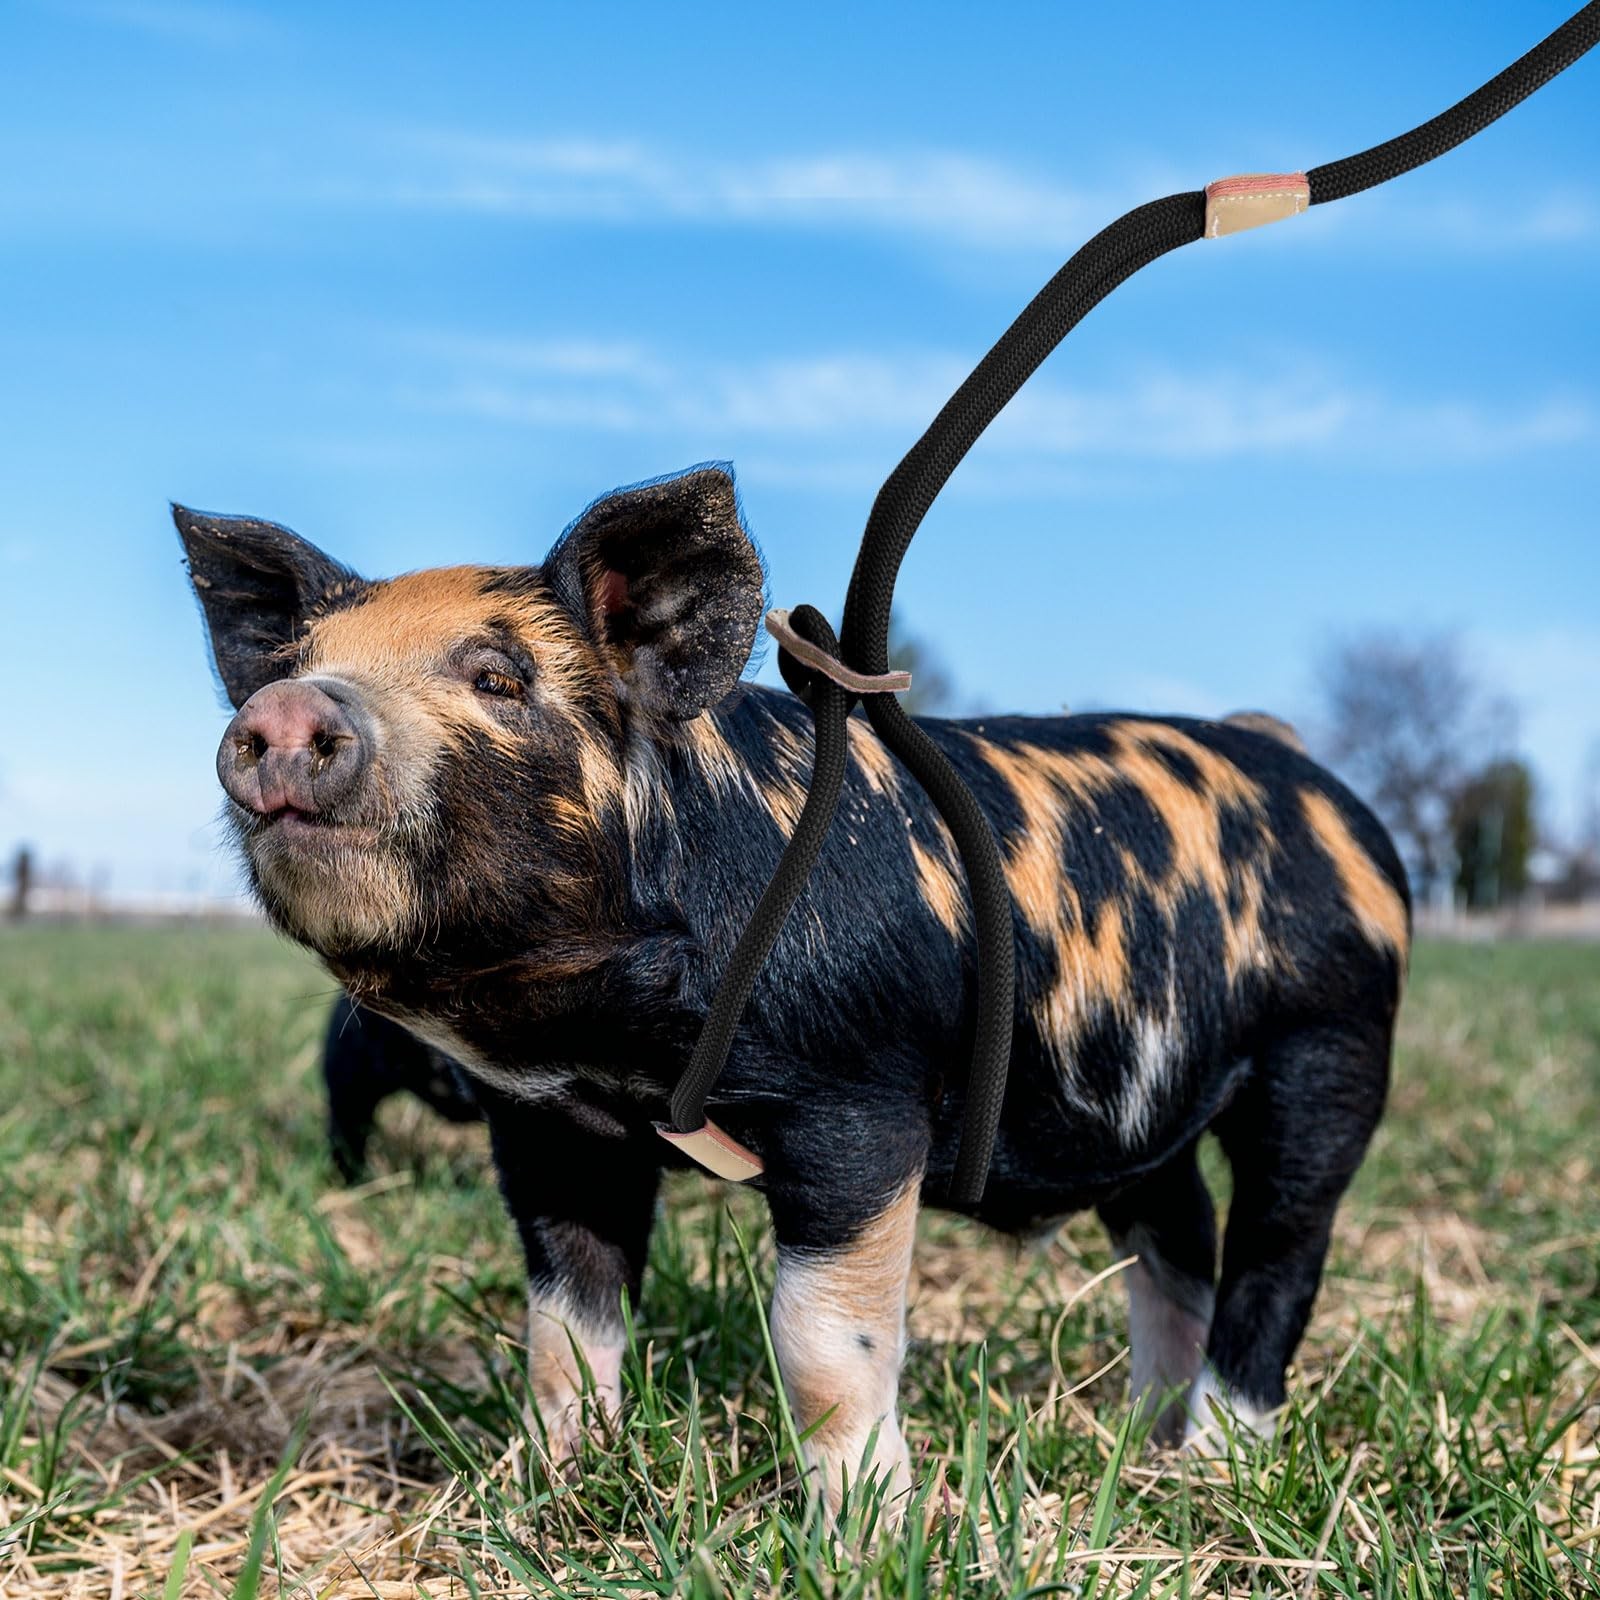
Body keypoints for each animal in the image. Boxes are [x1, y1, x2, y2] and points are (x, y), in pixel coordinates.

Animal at [175, 465, 1408, 1513]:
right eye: (292, 661)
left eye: (497, 677)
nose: (285, 711)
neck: (620, 1040)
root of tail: (1312, 778)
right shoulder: (550, 1125)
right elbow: (564, 1325)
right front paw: (556, 1489)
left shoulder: (859, 1103)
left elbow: (822, 1346)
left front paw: (866, 1533)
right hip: (1141, 1106)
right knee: (1177, 1239)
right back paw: (1140, 1443)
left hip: (1331, 1049)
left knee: (1277, 1258)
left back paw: (1213, 1464)